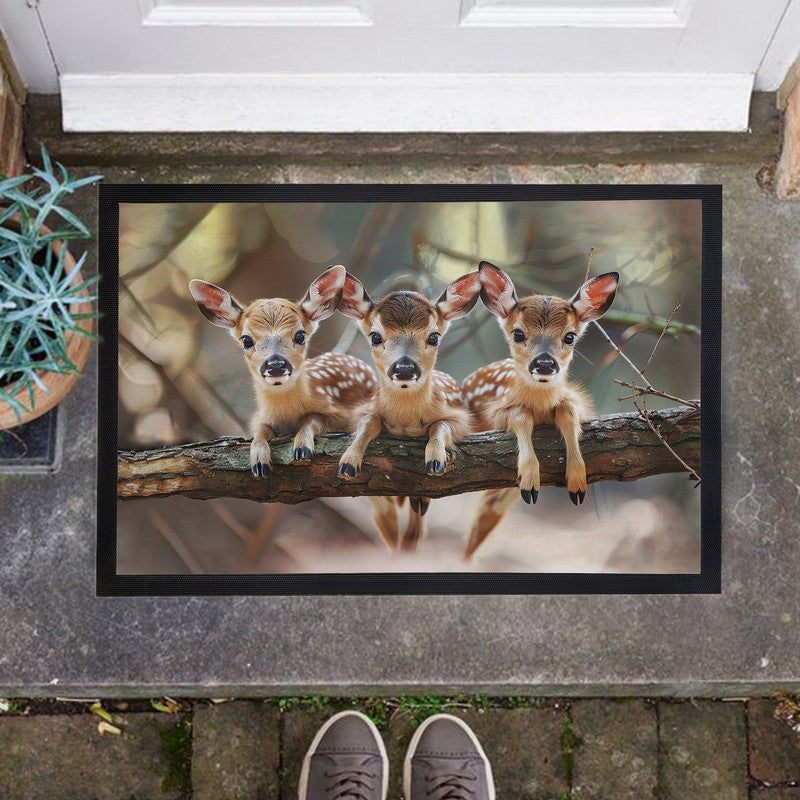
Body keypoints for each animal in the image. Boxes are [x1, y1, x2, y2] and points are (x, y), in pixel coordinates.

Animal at [188, 265, 377, 479]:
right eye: (246, 340)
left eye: (300, 335)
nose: (276, 365)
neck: (285, 415)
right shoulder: (260, 417)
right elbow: (260, 430)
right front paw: (259, 461)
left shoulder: (338, 412)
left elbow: (313, 418)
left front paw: (302, 448)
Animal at [335, 270, 483, 551]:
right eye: (375, 336)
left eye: (433, 336)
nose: (404, 369)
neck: (406, 420)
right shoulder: (362, 410)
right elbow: (369, 421)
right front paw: (348, 462)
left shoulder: (462, 419)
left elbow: (439, 424)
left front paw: (435, 458)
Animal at [461, 260, 619, 559]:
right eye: (518, 333)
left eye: (570, 336)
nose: (545, 364)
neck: (541, 406)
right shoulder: (496, 410)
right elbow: (521, 415)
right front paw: (529, 480)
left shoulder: (576, 400)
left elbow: (567, 412)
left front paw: (577, 481)